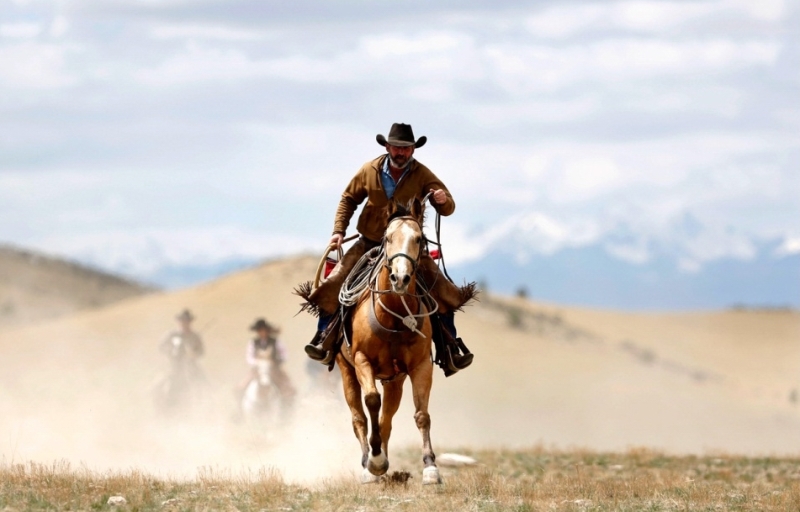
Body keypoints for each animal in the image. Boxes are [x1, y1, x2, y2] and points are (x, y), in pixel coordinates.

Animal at [334, 199, 440, 484]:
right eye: (388, 237)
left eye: (418, 238)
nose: (400, 278)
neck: (394, 315)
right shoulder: (362, 361)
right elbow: (371, 400)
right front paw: (376, 461)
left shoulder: (420, 366)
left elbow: (422, 414)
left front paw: (430, 467)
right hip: (346, 370)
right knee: (359, 417)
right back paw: (368, 465)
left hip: (395, 381)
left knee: (387, 420)